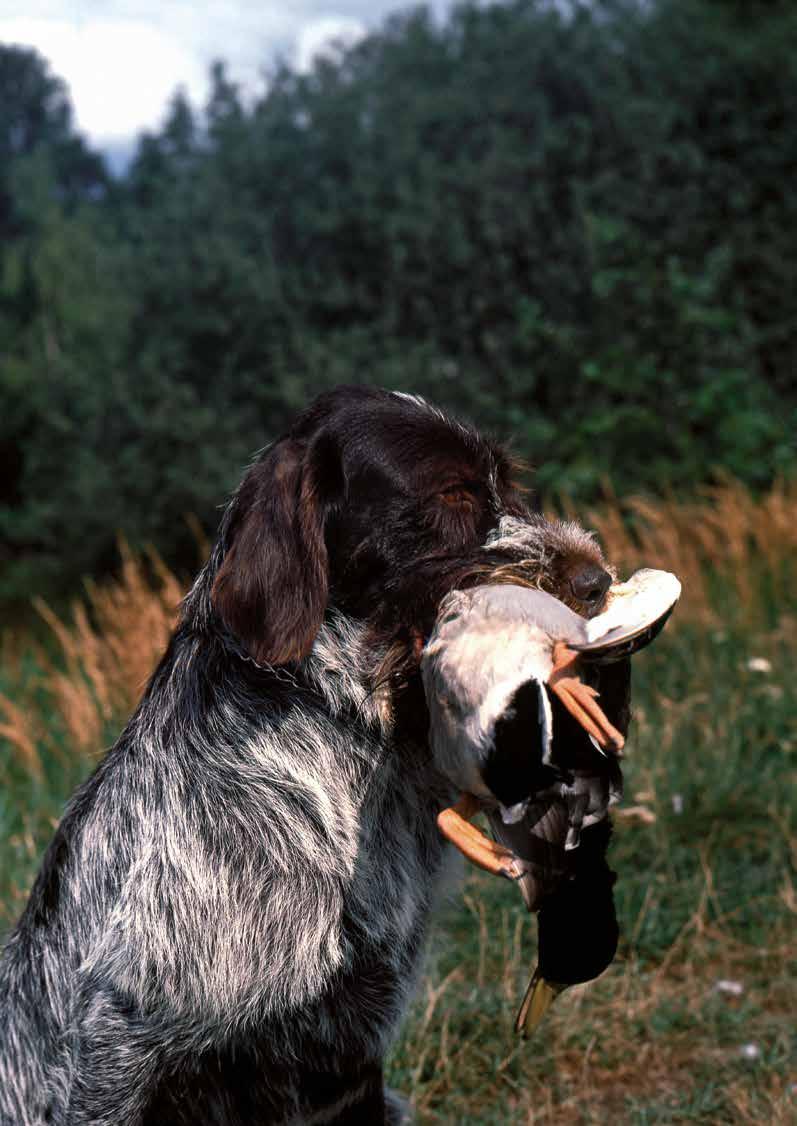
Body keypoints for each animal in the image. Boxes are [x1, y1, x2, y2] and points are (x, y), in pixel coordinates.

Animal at [0, 389, 621, 1126]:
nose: (597, 580)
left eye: (509, 482)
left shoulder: (351, 1036)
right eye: (452, 492)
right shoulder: (117, 1042)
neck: (341, 730)